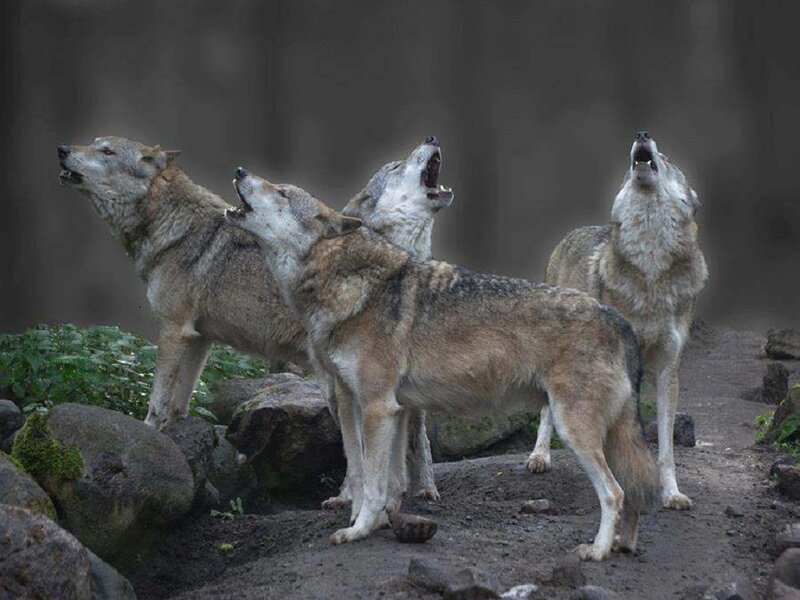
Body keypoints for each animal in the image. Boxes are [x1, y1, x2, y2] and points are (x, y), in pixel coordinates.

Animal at [56, 135, 451, 501]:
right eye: (94, 144)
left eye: (107, 151)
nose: (62, 149)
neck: (172, 227)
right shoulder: (199, 338)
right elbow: (179, 403)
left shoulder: (172, 330)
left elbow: (156, 402)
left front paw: (149, 436)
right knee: (415, 436)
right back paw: (423, 491)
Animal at [226, 169, 660, 561]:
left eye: (281, 193)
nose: (240, 171)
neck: (347, 285)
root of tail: (616, 319)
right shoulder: (388, 409)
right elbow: (386, 480)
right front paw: (383, 522)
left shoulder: (376, 408)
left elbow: (372, 483)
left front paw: (358, 530)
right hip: (607, 433)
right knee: (632, 492)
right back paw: (623, 545)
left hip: (574, 431)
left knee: (614, 493)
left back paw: (597, 551)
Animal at [525, 131, 708, 510]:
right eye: (628, 170)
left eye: (667, 159)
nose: (642, 134)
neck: (651, 271)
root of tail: (571, 233)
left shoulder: (668, 369)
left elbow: (666, 448)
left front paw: (671, 493)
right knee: (548, 411)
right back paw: (540, 457)